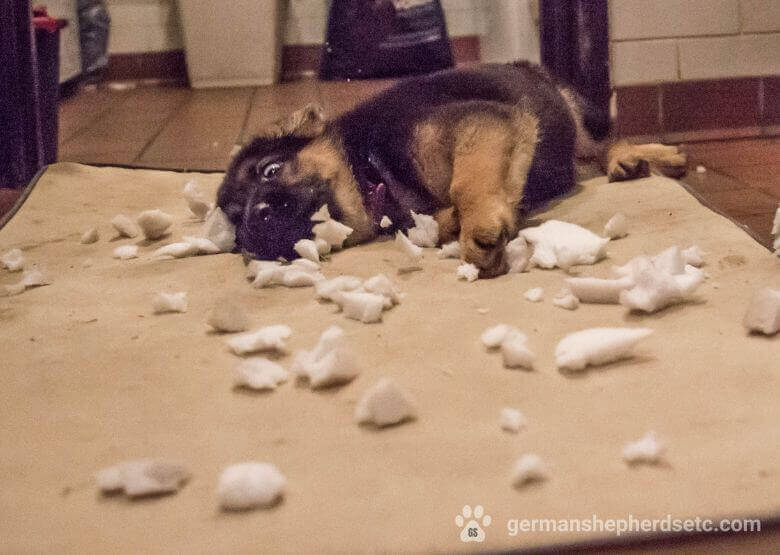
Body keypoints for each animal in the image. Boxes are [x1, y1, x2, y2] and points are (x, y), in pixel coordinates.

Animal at [216, 63, 684, 278]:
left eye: (270, 171)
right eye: (235, 219)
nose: (254, 227)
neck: (370, 164)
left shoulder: (484, 123)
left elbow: (467, 182)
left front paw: (476, 225)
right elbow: (433, 218)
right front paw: (454, 221)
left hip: (578, 110)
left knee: (606, 140)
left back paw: (640, 156)